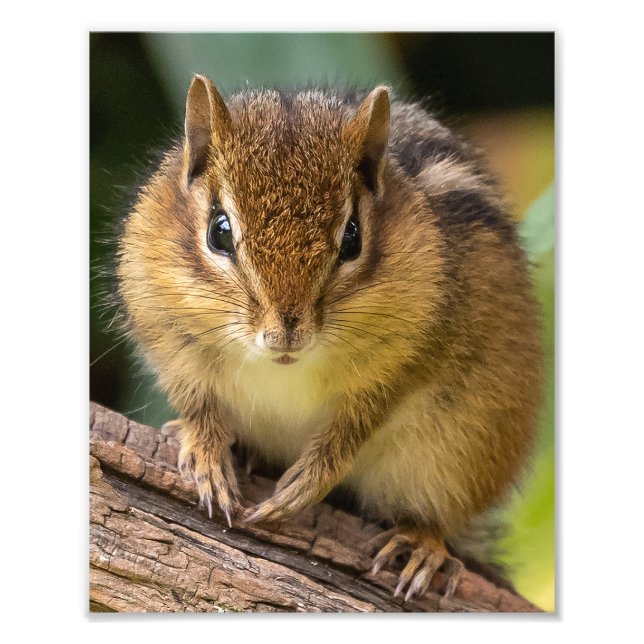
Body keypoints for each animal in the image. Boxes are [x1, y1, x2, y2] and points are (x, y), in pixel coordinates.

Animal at [116, 74, 542, 600]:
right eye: (219, 231)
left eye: (352, 237)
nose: (285, 332)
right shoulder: (166, 331)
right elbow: (196, 401)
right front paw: (205, 452)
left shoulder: (412, 355)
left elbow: (358, 422)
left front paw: (308, 481)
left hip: (461, 453)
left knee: (439, 517)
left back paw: (422, 545)